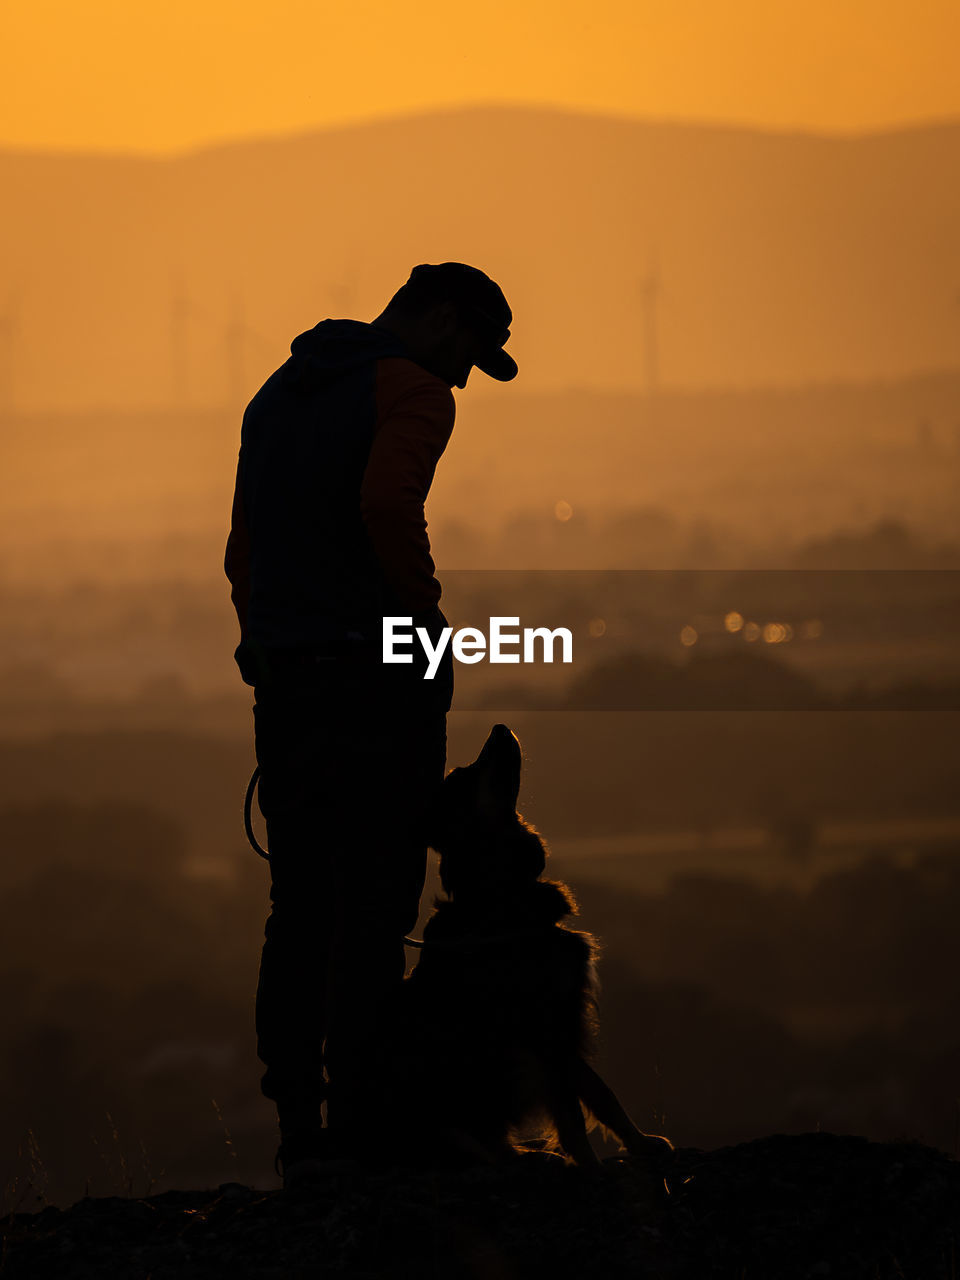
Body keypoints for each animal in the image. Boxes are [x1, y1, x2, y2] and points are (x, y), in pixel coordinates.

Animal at [371, 721, 675, 1172]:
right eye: (464, 774)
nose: (500, 727)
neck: (501, 896)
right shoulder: (542, 1029)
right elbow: (571, 1114)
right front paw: (592, 1167)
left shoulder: (563, 1021)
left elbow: (601, 1093)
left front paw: (640, 1144)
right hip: (446, 1121)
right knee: (482, 1154)